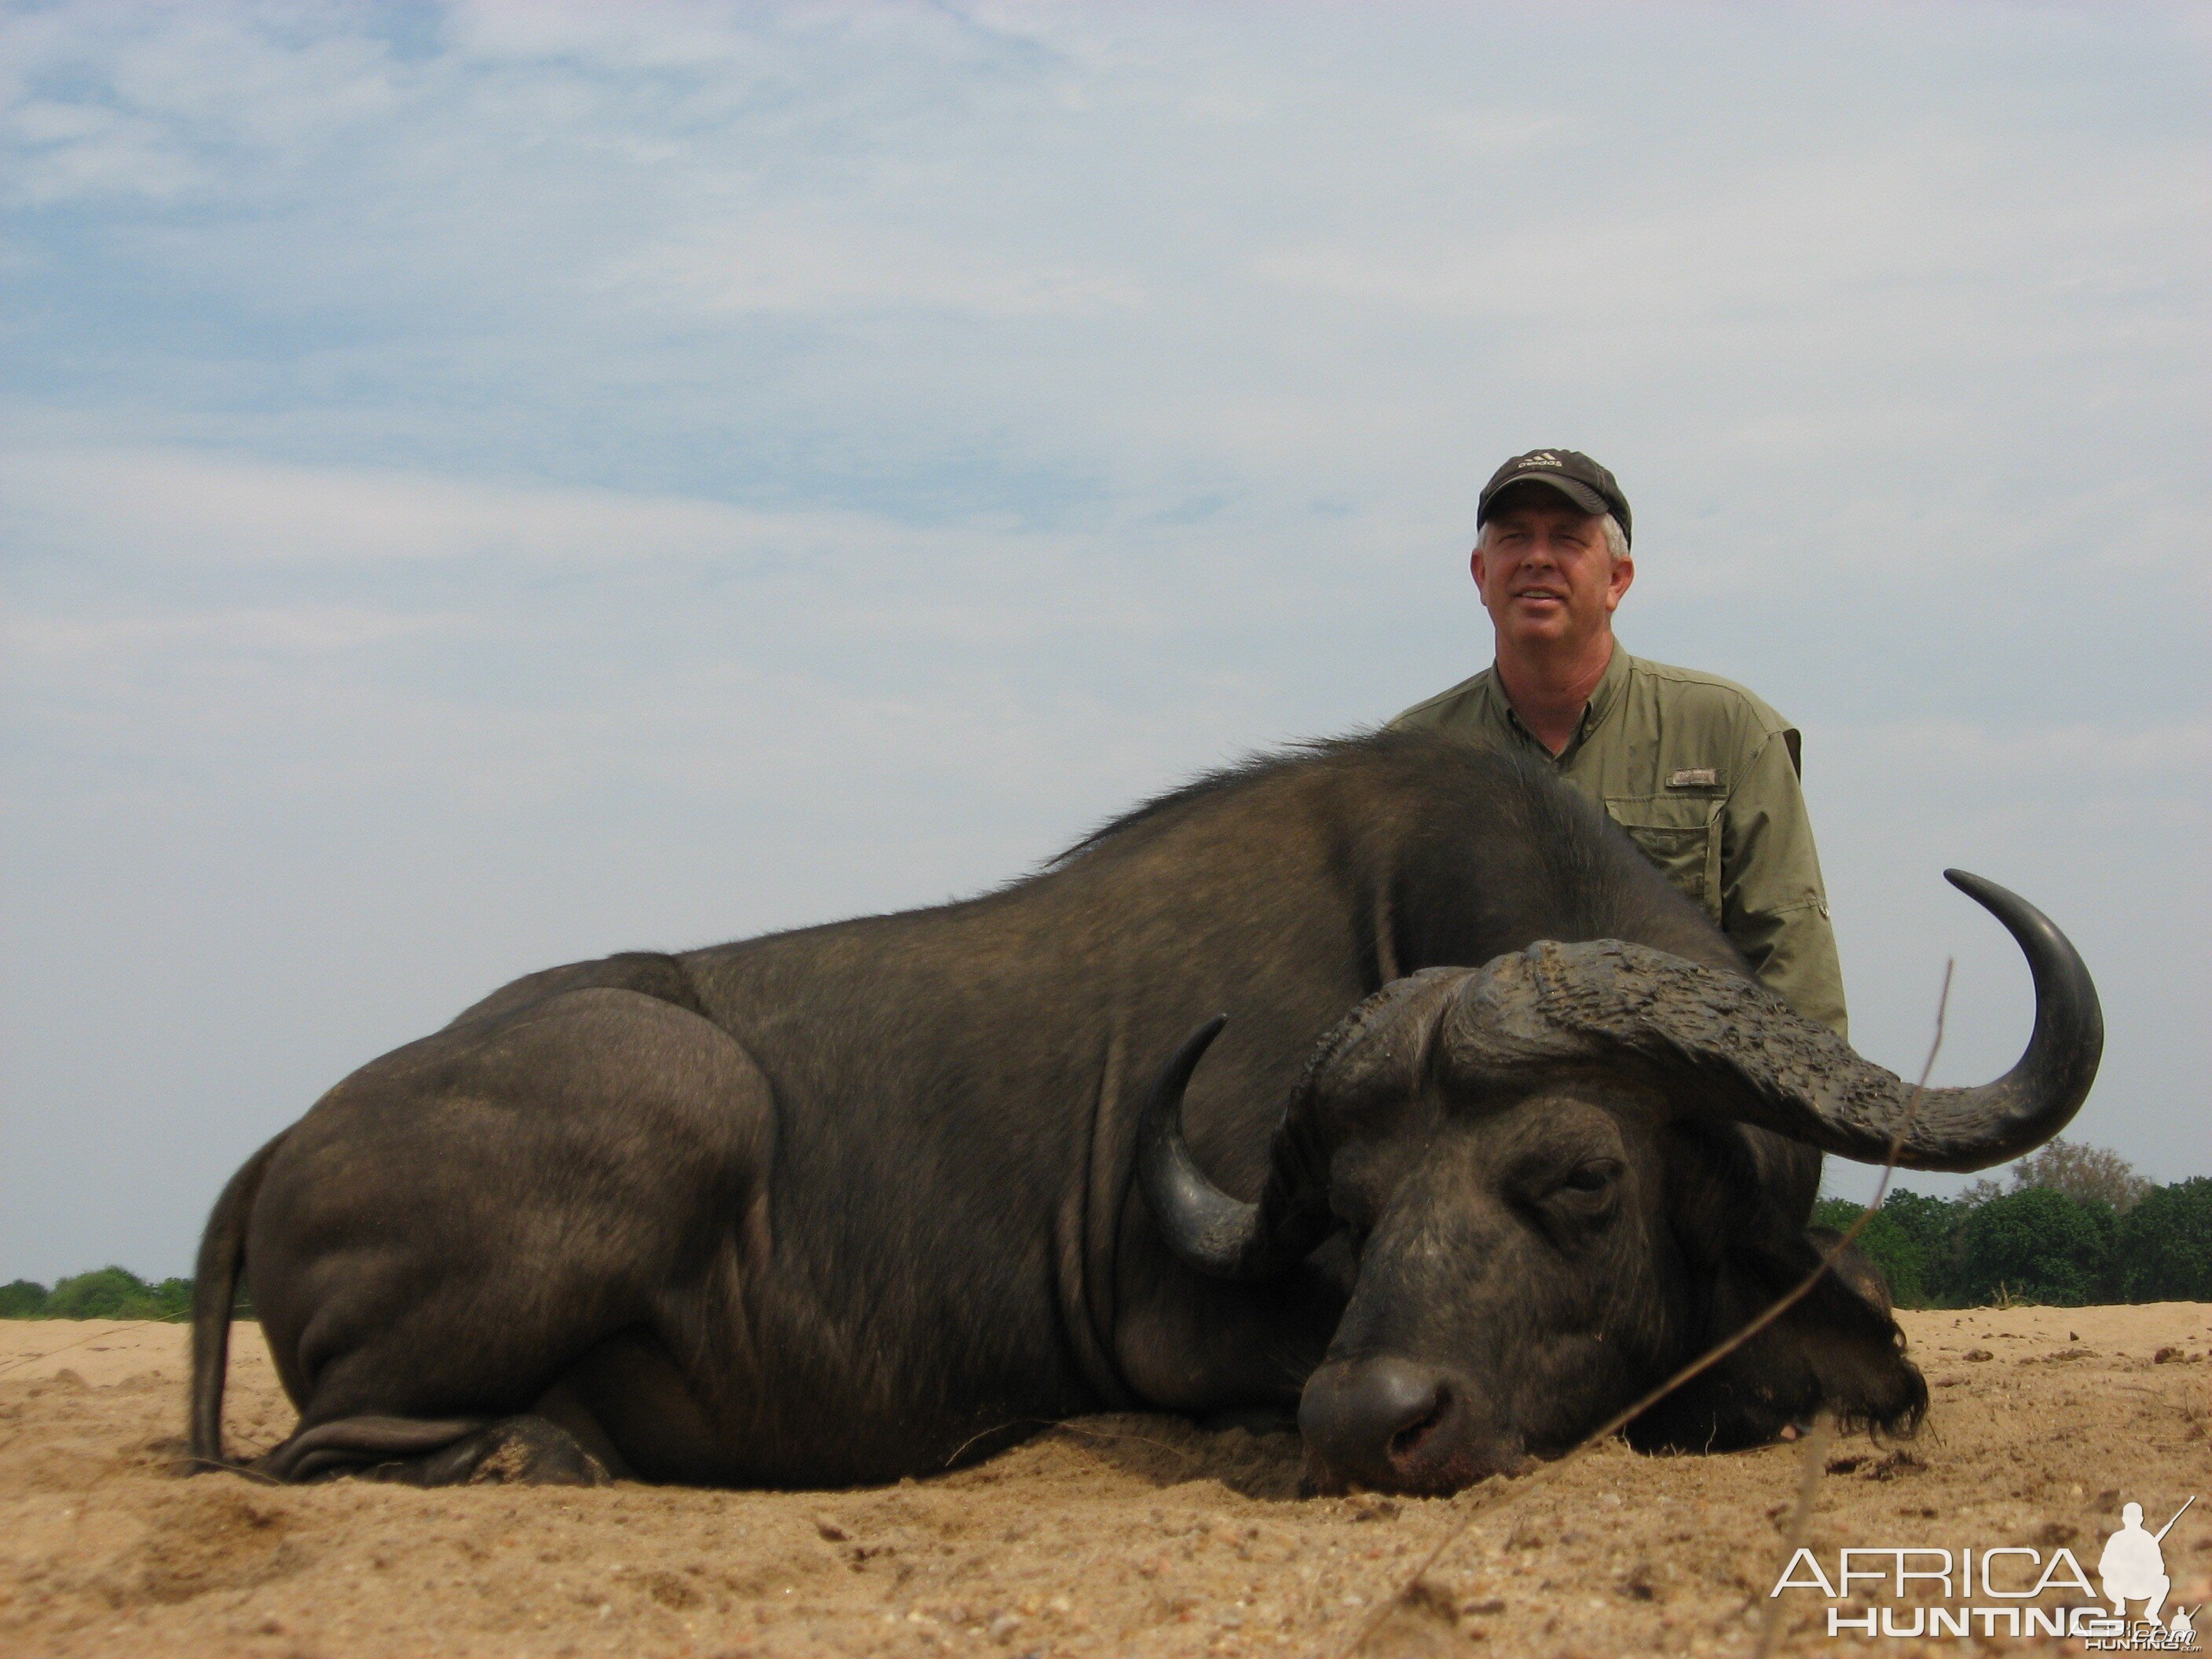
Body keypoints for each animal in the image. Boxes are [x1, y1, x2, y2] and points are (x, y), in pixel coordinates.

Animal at [185, 734, 2088, 1503]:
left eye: (1574, 1179)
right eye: (1348, 1217)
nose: (1366, 1424)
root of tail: (281, 1145)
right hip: (677, 1091)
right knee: (323, 1447)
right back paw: (543, 1452)